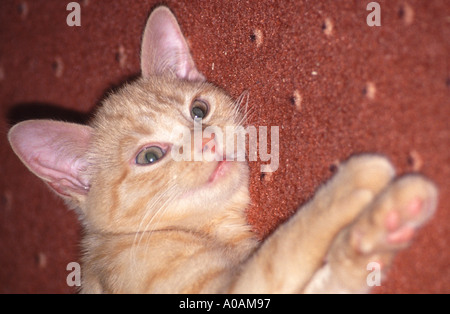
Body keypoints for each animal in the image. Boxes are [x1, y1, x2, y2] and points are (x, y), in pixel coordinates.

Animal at [7, 6, 438, 294]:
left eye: (199, 110)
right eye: (149, 157)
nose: (208, 140)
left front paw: (380, 230)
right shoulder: (229, 290)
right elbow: (280, 253)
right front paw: (351, 189)